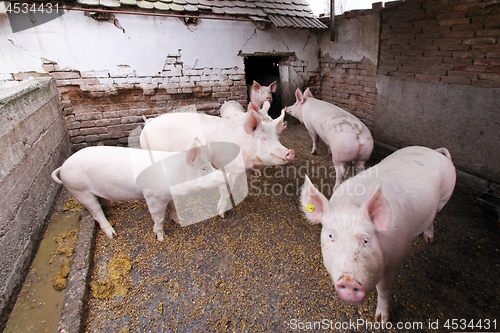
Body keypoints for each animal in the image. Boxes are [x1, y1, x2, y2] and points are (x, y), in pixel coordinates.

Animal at [50, 139, 227, 240]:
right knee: (96, 212)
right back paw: (112, 235)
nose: (226, 174)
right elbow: (158, 218)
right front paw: (161, 237)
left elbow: (172, 209)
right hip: (79, 190)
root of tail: (64, 166)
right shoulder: (153, 196)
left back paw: (108, 205)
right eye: (204, 169)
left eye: (210, 165)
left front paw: (179, 220)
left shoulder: (168, 196)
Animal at [300, 146, 458, 322]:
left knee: (433, 216)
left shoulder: (392, 261)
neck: (351, 207)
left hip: (444, 197)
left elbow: (383, 290)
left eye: (366, 240)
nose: (349, 281)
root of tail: (435, 152)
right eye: (330, 236)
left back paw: (429, 239)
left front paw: (382, 320)